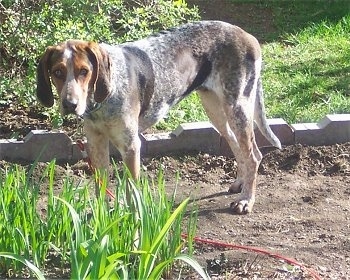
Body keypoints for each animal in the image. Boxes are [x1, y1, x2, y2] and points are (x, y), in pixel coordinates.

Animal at [35, 20, 282, 213]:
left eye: (84, 71)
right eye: (57, 72)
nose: (70, 105)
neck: (101, 103)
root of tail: (247, 35)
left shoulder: (131, 147)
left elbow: (131, 191)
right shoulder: (96, 143)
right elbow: (100, 186)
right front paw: (101, 220)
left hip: (237, 107)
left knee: (253, 155)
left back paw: (246, 200)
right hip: (216, 111)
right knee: (237, 147)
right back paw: (240, 183)